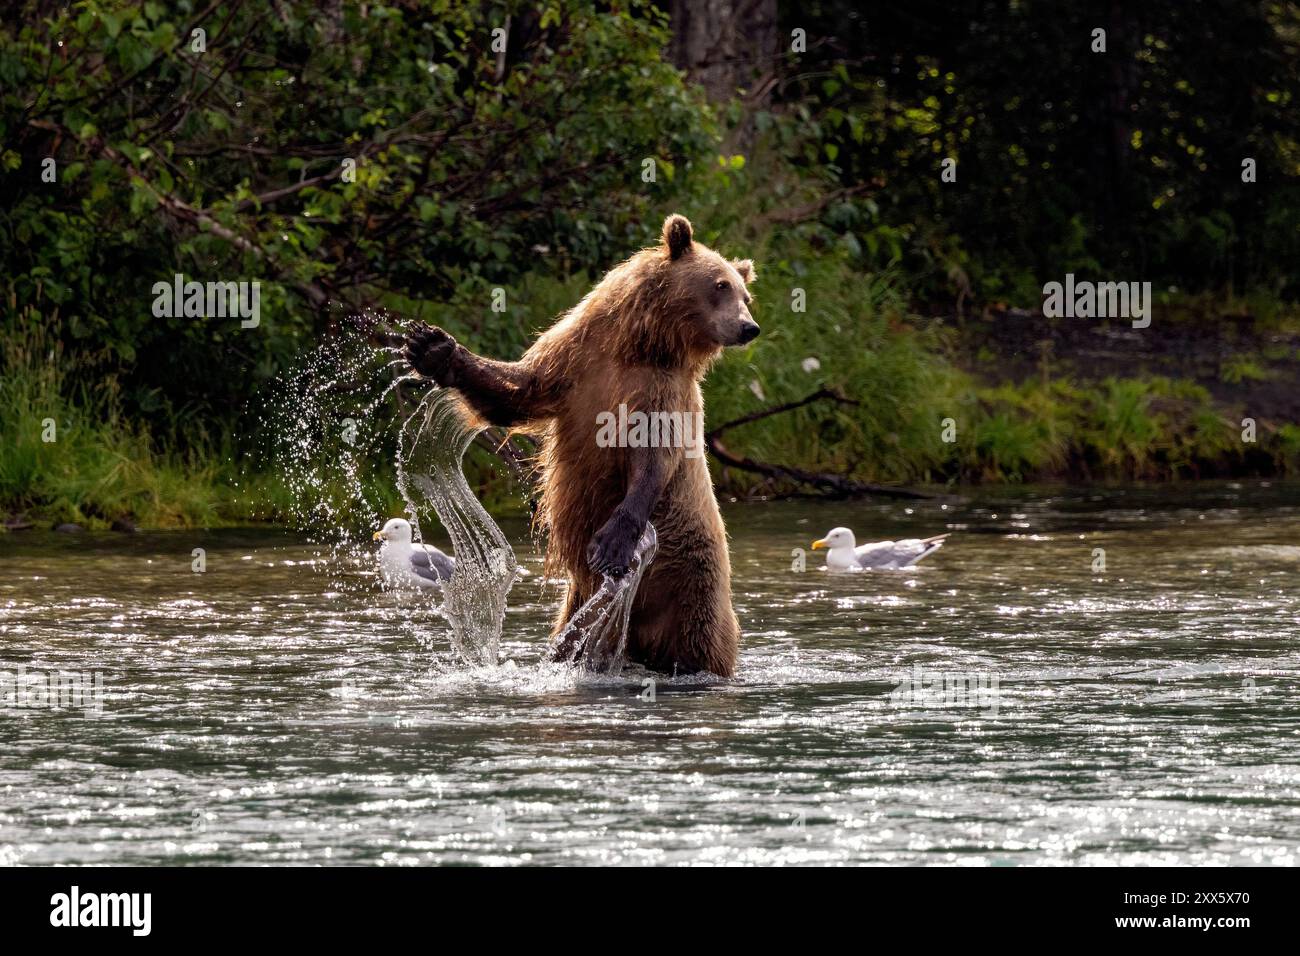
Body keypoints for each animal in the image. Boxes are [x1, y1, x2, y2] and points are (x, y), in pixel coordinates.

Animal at [404, 214, 758, 677]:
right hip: (579, 599)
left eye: (744, 293)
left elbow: (653, 457)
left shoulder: (662, 391)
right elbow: (518, 390)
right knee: (570, 634)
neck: (639, 344)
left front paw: (612, 541)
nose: (748, 326)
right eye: (721, 285)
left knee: (698, 640)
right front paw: (433, 348)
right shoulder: (574, 362)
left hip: (692, 579)